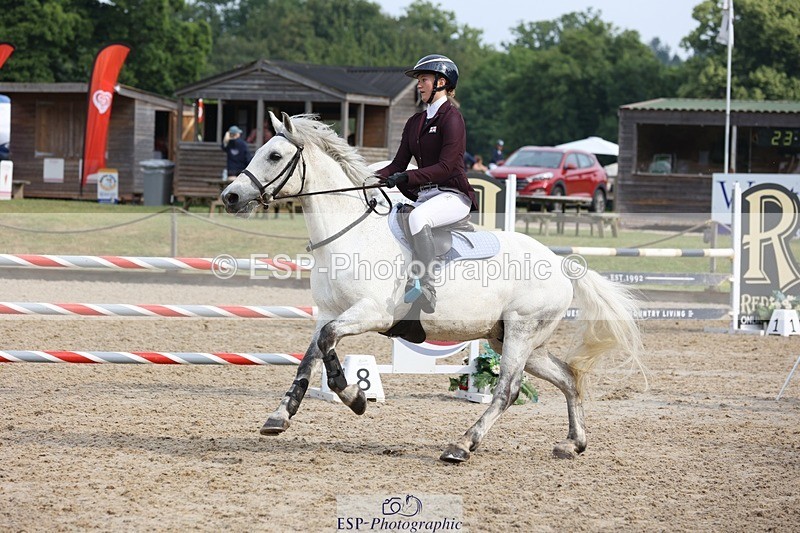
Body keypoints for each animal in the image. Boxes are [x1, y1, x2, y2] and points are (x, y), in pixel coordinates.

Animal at [222, 112, 646, 463]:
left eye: (275, 156)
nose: (230, 196)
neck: (350, 234)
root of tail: (560, 264)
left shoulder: (370, 314)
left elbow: (327, 344)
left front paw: (354, 396)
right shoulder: (328, 312)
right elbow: (310, 357)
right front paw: (280, 415)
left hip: (522, 331)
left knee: (507, 389)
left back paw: (463, 444)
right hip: (513, 339)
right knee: (568, 378)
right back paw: (573, 443)